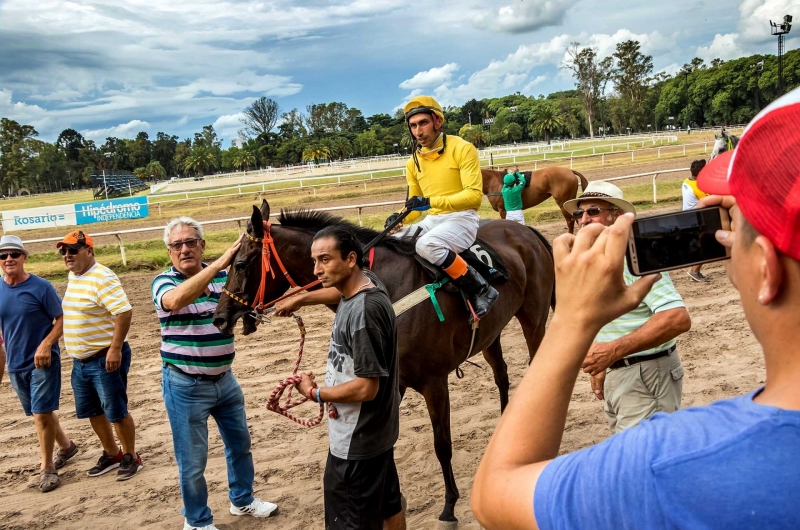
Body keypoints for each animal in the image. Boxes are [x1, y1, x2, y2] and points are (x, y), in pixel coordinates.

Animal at [212, 198, 556, 524]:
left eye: (240, 264)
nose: (219, 318)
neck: (387, 286)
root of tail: (526, 231)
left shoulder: (434, 381)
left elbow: (442, 444)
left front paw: (449, 505)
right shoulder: (391, 381)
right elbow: (380, 440)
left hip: (534, 320)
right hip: (490, 334)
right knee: (502, 375)